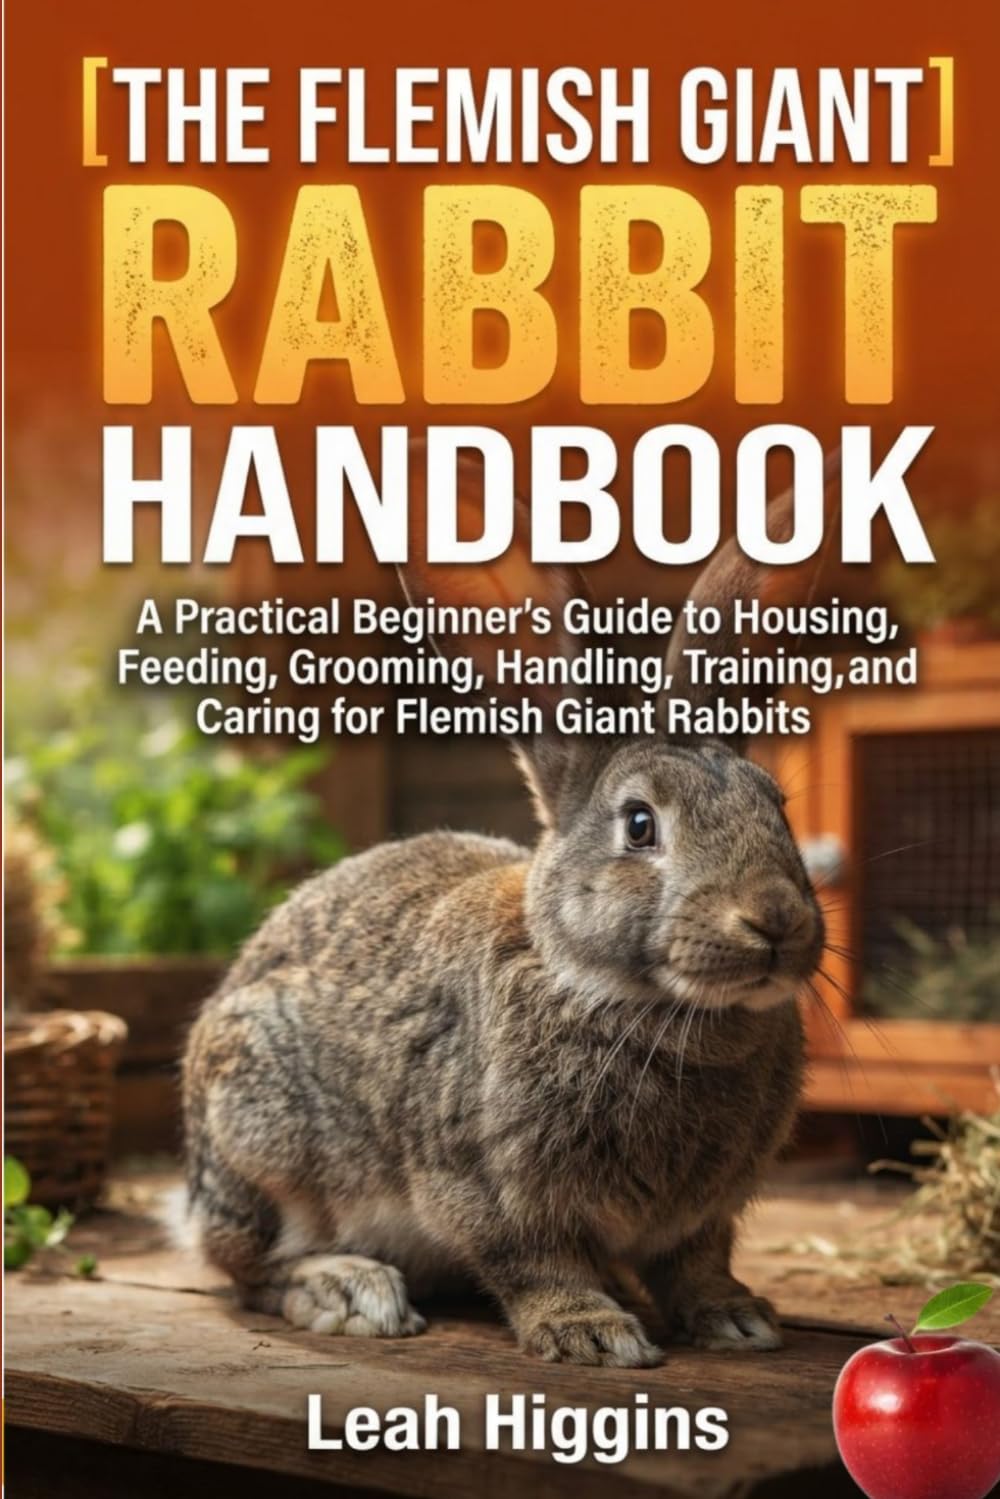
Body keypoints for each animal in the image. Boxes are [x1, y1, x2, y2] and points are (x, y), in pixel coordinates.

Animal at [182, 460, 825, 1368]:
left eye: (778, 806)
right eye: (640, 824)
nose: (774, 921)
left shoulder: (702, 1215)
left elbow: (698, 1262)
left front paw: (737, 1317)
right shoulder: (486, 1184)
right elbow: (533, 1259)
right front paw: (591, 1331)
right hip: (261, 1136)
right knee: (251, 1268)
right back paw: (349, 1289)